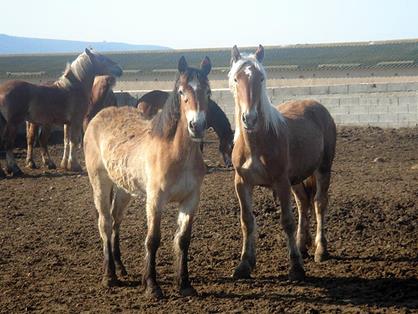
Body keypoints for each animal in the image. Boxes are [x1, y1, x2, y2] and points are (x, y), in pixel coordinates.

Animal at [0, 48, 122, 177]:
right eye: (102, 58)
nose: (119, 69)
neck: (74, 88)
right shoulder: (76, 121)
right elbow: (74, 141)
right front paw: (75, 165)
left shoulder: (67, 123)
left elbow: (66, 141)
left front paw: (65, 165)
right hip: (15, 123)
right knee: (9, 144)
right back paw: (15, 168)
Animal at [83, 56, 212, 300]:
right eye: (181, 91)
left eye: (208, 91)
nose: (196, 125)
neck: (176, 152)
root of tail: (99, 116)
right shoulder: (155, 200)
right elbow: (153, 240)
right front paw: (152, 286)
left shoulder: (191, 200)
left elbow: (183, 240)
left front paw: (185, 284)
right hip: (100, 182)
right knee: (105, 222)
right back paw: (109, 276)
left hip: (123, 189)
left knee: (116, 219)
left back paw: (120, 267)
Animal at [229, 44, 336, 282]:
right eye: (236, 79)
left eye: (260, 78)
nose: (249, 118)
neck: (256, 145)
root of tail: (318, 106)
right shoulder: (242, 183)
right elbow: (246, 221)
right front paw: (244, 265)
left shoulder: (280, 182)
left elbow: (287, 221)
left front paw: (295, 267)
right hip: (296, 179)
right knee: (303, 203)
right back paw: (301, 245)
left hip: (323, 168)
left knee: (319, 203)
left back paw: (320, 250)